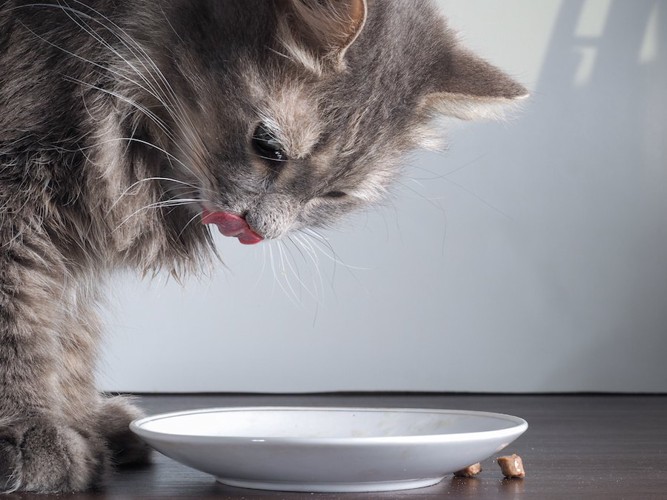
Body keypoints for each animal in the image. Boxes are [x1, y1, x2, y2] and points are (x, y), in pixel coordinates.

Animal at [0, 0, 528, 492]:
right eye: (267, 147)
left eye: (335, 194)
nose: (260, 227)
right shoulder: (19, 209)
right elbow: (21, 330)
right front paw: (32, 431)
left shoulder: (73, 251)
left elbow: (70, 343)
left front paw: (83, 420)